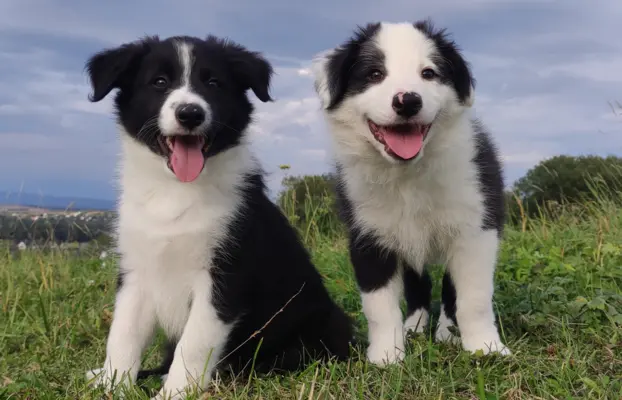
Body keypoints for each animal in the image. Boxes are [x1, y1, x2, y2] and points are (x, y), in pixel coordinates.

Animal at [84, 36, 356, 398]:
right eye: (159, 82)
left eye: (213, 83)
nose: (190, 113)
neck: (177, 192)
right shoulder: (136, 270)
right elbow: (123, 333)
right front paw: (113, 382)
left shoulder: (225, 276)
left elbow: (194, 343)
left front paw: (175, 391)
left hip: (325, 326)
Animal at [312, 21, 512, 366]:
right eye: (375, 74)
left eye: (428, 73)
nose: (407, 101)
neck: (407, 174)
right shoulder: (369, 236)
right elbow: (378, 305)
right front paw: (386, 356)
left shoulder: (475, 229)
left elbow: (473, 297)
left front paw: (485, 347)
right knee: (419, 285)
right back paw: (415, 327)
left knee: (448, 289)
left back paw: (447, 332)